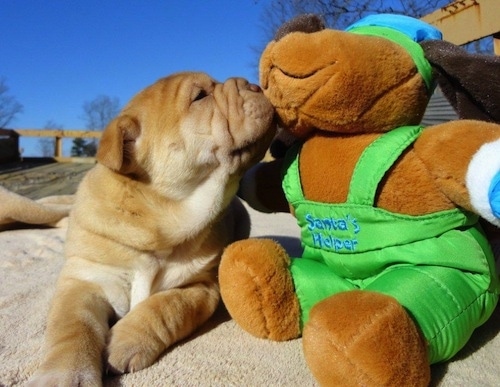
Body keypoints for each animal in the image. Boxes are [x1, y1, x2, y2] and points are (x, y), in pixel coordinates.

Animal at [29, 72, 276, 384]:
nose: (255, 84)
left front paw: (123, 341)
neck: (160, 218)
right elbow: (72, 328)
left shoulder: (200, 286)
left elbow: (165, 307)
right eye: (199, 97)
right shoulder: (84, 280)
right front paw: (66, 375)